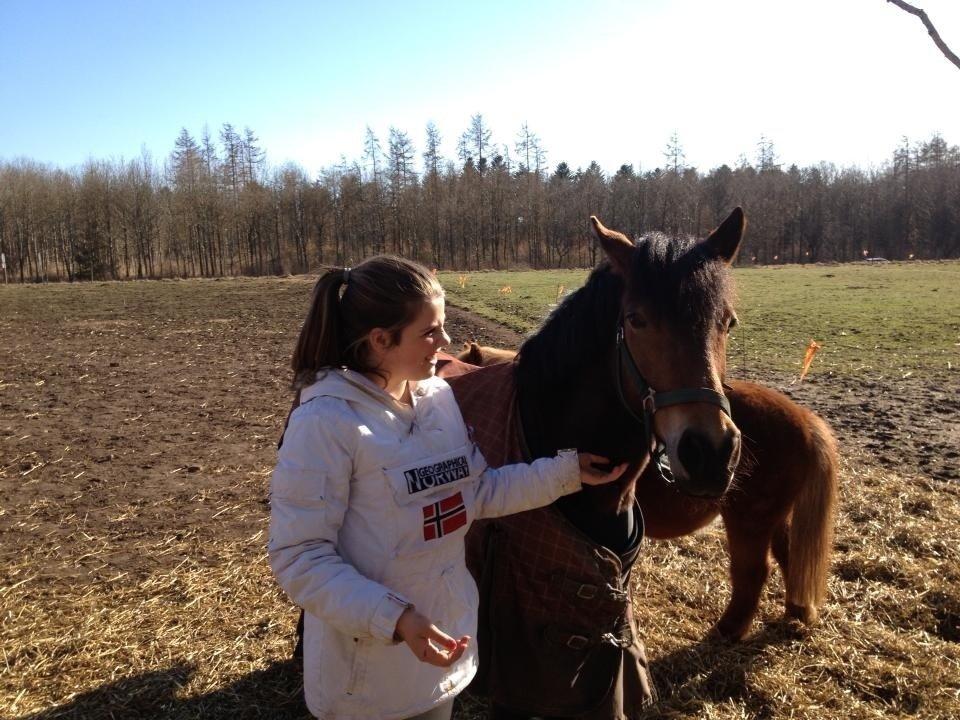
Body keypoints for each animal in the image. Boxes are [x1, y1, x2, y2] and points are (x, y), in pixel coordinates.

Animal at [446, 205, 836, 716]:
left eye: (726, 322)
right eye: (635, 319)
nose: (710, 452)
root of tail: (806, 419)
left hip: (751, 518)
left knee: (754, 571)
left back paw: (729, 631)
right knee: (787, 559)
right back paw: (794, 616)